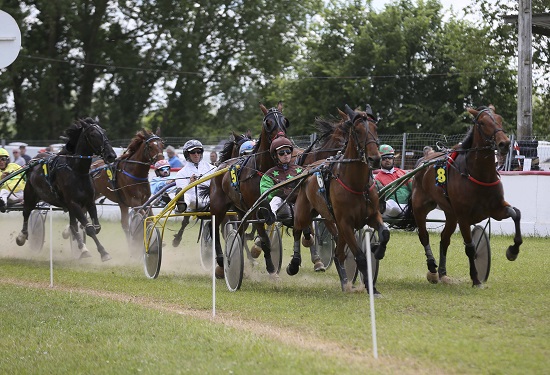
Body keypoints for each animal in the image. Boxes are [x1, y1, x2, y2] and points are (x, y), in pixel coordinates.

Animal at [16, 117, 117, 262]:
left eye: (104, 131)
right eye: (93, 134)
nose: (111, 155)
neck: (77, 171)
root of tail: (33, 161)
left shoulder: (88, 201)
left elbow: (95, 227)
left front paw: (84, 247)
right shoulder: (74, 203)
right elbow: (90, 229)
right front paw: (103, 252)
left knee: (73, 225)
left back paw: (82, 247)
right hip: (30, 193)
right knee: (26, 212)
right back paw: (22, 236)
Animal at [207, 101, 292, 278]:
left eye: (285, 121)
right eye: (268, 123)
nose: (283, 146)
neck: (261, 169)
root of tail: (221, 167)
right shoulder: (256, 211)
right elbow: (264, 239)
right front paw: (271, 268)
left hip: (240, 210)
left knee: (239, 232)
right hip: (219, 207)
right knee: (215, 229)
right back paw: (221, 261)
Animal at [292, 105, 386, 294]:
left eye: (375, 128)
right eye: (357, 130)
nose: (375, 159)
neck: (356, 184)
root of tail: (309, 169)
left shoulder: (372, 215)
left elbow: (384, 233)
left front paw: (377, 251)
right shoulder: (345, 223)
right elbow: (360, 257)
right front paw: (370, 287)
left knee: (338, 254)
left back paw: (344, 282)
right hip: (304, 212)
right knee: (299, 230)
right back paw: (294, 263)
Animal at [412, 106, 524, 288]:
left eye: (499, 119)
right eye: (482, 122)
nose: (505, 143)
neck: (479, 174)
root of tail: (423, 161)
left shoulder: (496, 209)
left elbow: (516, 214)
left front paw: (513, 251)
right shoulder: (463, 217)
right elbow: (470, 247)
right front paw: (476, 279)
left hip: (451, 214)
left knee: (444, 239)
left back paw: (443, 273)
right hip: (420, 208)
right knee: (424, 236)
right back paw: (433, 270)